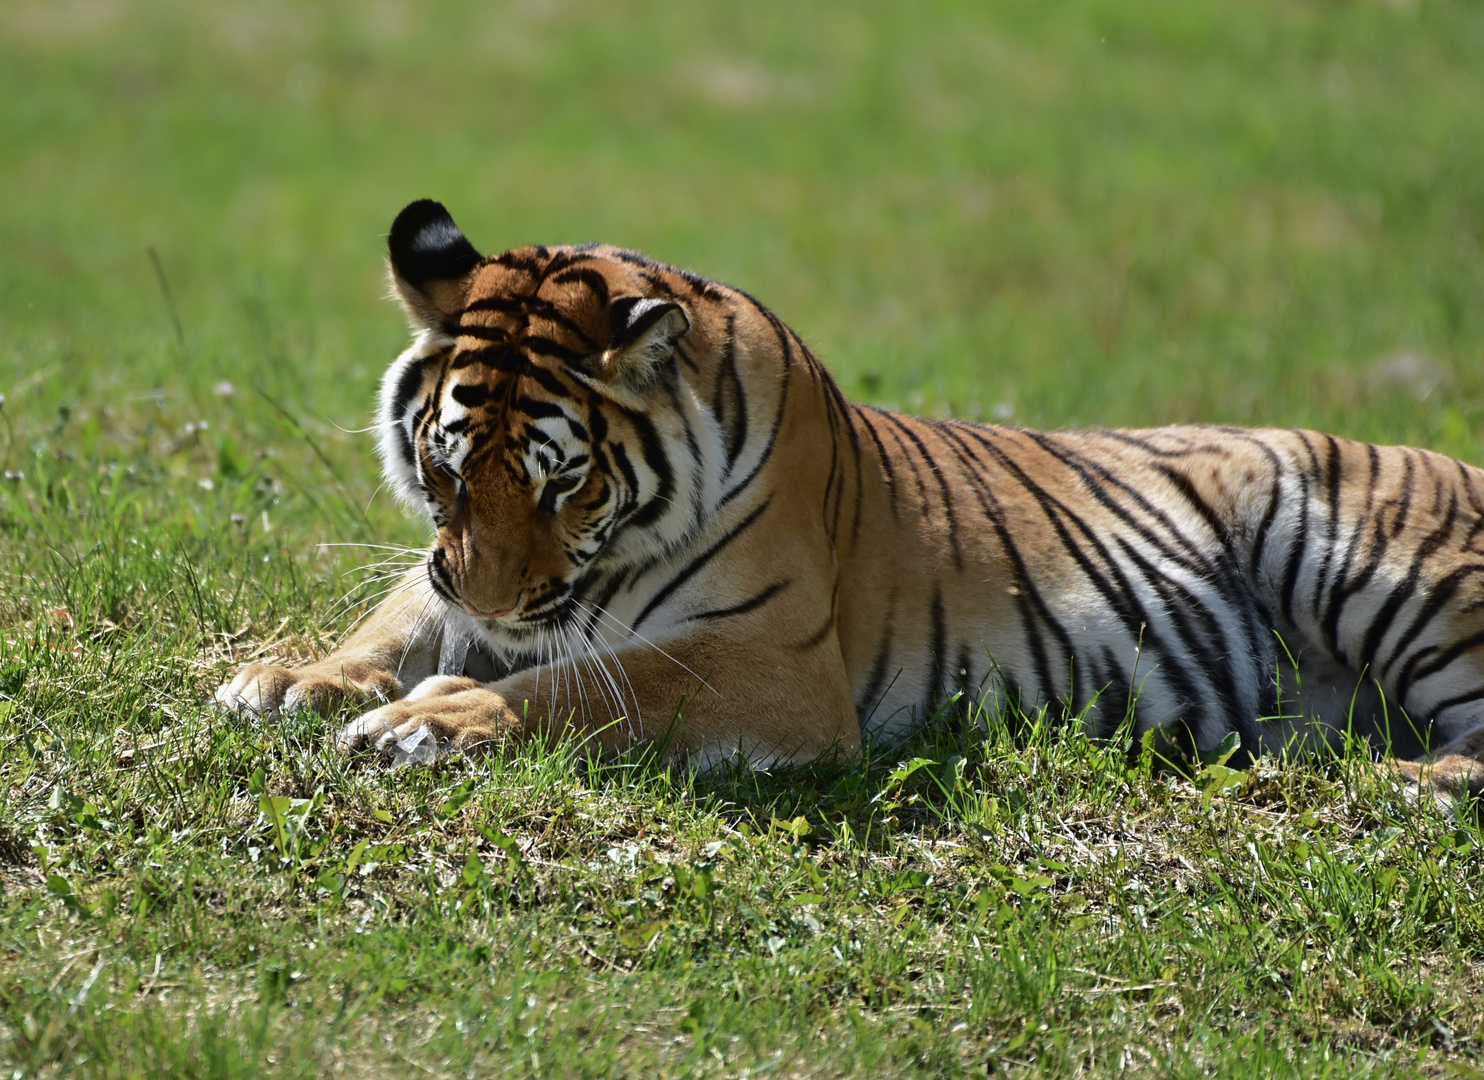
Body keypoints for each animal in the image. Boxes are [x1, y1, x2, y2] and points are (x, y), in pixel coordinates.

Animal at [215, 198, 1484, 795]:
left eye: (564, 485)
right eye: (443, 468)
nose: (493, 606)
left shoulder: (771, 660)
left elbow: (587, 687)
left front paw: (429, 720)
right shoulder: (456, 580)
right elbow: (396, 620)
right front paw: (292, 681)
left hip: (1375, 566)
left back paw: (1396, 785)